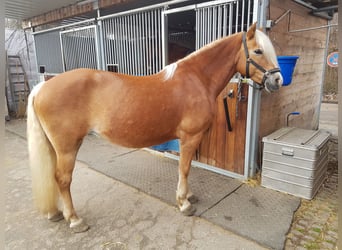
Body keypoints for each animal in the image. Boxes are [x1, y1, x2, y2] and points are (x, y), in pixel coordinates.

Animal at [27, 23, 284, 232]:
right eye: (258, 51)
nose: (277, 80)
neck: (196, 79)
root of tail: (42, 88)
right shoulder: (190, 136)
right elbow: (185, 168)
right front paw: (184, 203)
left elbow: (186, 167)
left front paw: (188, 195)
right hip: (67, 147)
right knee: (62, 179)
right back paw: (75, 220)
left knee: (53, 178)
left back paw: (56, 212)